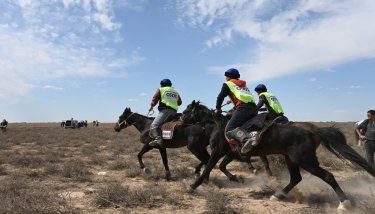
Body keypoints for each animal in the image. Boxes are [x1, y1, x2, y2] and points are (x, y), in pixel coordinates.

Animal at [181, 101, 375, 211]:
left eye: (186, 111)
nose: (180, 120)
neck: (219, 125)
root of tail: (312, 131)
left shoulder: (218, 151)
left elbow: (208, 167)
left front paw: (193, 186)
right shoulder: (230, 153)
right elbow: (218, 166)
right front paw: (236, 178)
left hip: (306, 160)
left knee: (328, 176)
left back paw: (344, 203)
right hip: (292, 159)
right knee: (296, 178)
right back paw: (278, 194)